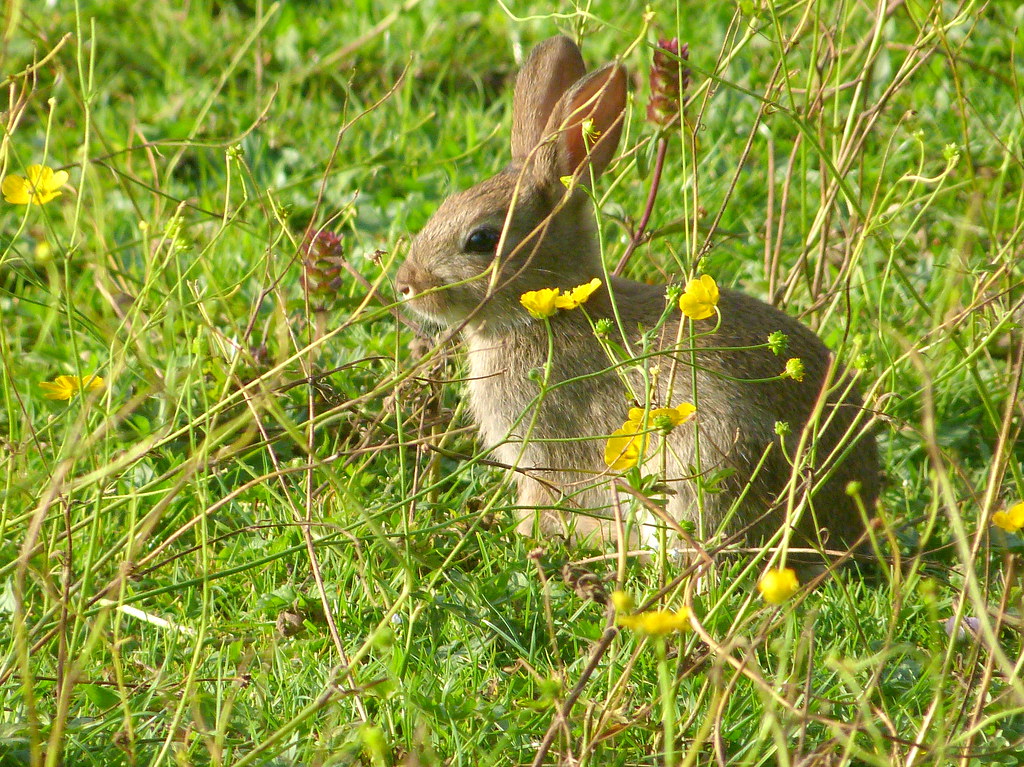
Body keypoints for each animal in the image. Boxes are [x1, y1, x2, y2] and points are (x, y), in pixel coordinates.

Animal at [395, 35, 879, 559]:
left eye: (481, 240)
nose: (405, 285)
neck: (548, 312)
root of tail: (852, 525)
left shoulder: (547, 451)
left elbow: (542, 501)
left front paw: (527, 536)